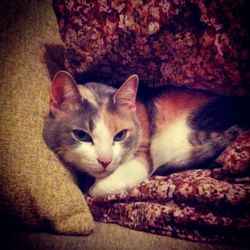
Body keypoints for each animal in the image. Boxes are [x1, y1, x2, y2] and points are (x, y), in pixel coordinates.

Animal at [44, 70, 249, 197]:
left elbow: (100, 187)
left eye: (120, 135)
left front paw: (92, 188)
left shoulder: (144, 155)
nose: (105, 161)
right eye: (82, 135)